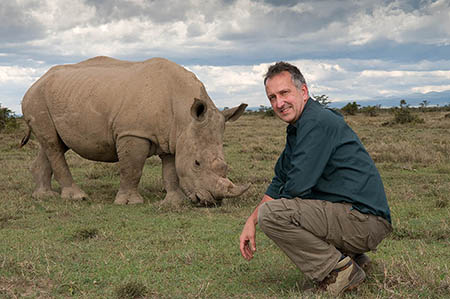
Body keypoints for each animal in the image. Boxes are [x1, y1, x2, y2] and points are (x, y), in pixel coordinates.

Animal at [21, 55, 250, 206]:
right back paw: (78, 197)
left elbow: (170, 170)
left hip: (57, 97)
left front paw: (174, 202)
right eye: (197, 163)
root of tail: (36, 82)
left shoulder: (173, 136)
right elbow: (132, 168)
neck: (184, 116)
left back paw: (44, 196)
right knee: (53, 145)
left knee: (53, 144)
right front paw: (130, 202)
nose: (212, 201)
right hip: (37, 97)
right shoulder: (133, 132)